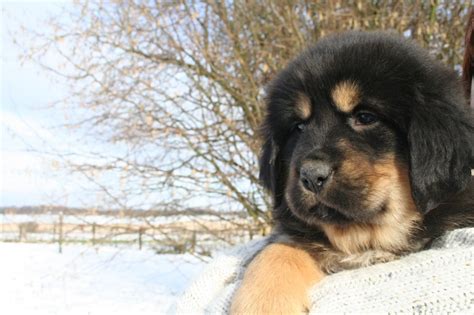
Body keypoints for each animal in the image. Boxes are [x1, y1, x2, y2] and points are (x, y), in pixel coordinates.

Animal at [231, 31, 474, 314]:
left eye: (365, 117)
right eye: (299, 126)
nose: (311, 176)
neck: (363, 239)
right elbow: (278, 250)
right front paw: (263, 302)